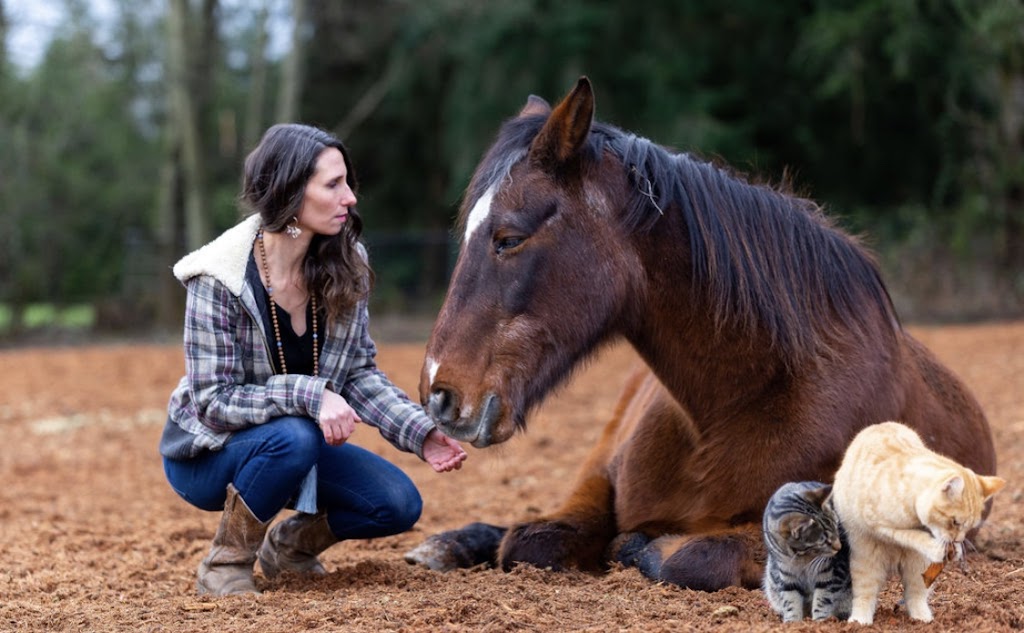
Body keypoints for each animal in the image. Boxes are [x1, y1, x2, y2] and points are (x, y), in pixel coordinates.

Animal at [403, 76, 995, 589]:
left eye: (508, 238)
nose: (439, 394)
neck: (740, 398)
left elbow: (690, 555)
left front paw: (639, 547)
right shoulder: (598, 482)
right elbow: (531, 541)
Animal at [765, 481, 851, 618]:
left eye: (837, 526)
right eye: (824, 541)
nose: (839, 547)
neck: (802, 558)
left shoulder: (830, 572)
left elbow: (823, 599)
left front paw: (820, 620)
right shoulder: (786, 573)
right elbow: (790, 600)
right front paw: (792, 621)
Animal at [827, 419, 1003, 622]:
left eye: (968, 527)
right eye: (955, 522)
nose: (958, 539)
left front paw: (955, 549)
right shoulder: (879, 524)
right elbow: (910, 535)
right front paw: (936, 546)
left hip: (917, 566)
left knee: (915, 594)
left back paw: (922, 618)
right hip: (867, 559)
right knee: (865, 594)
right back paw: (859, 620)